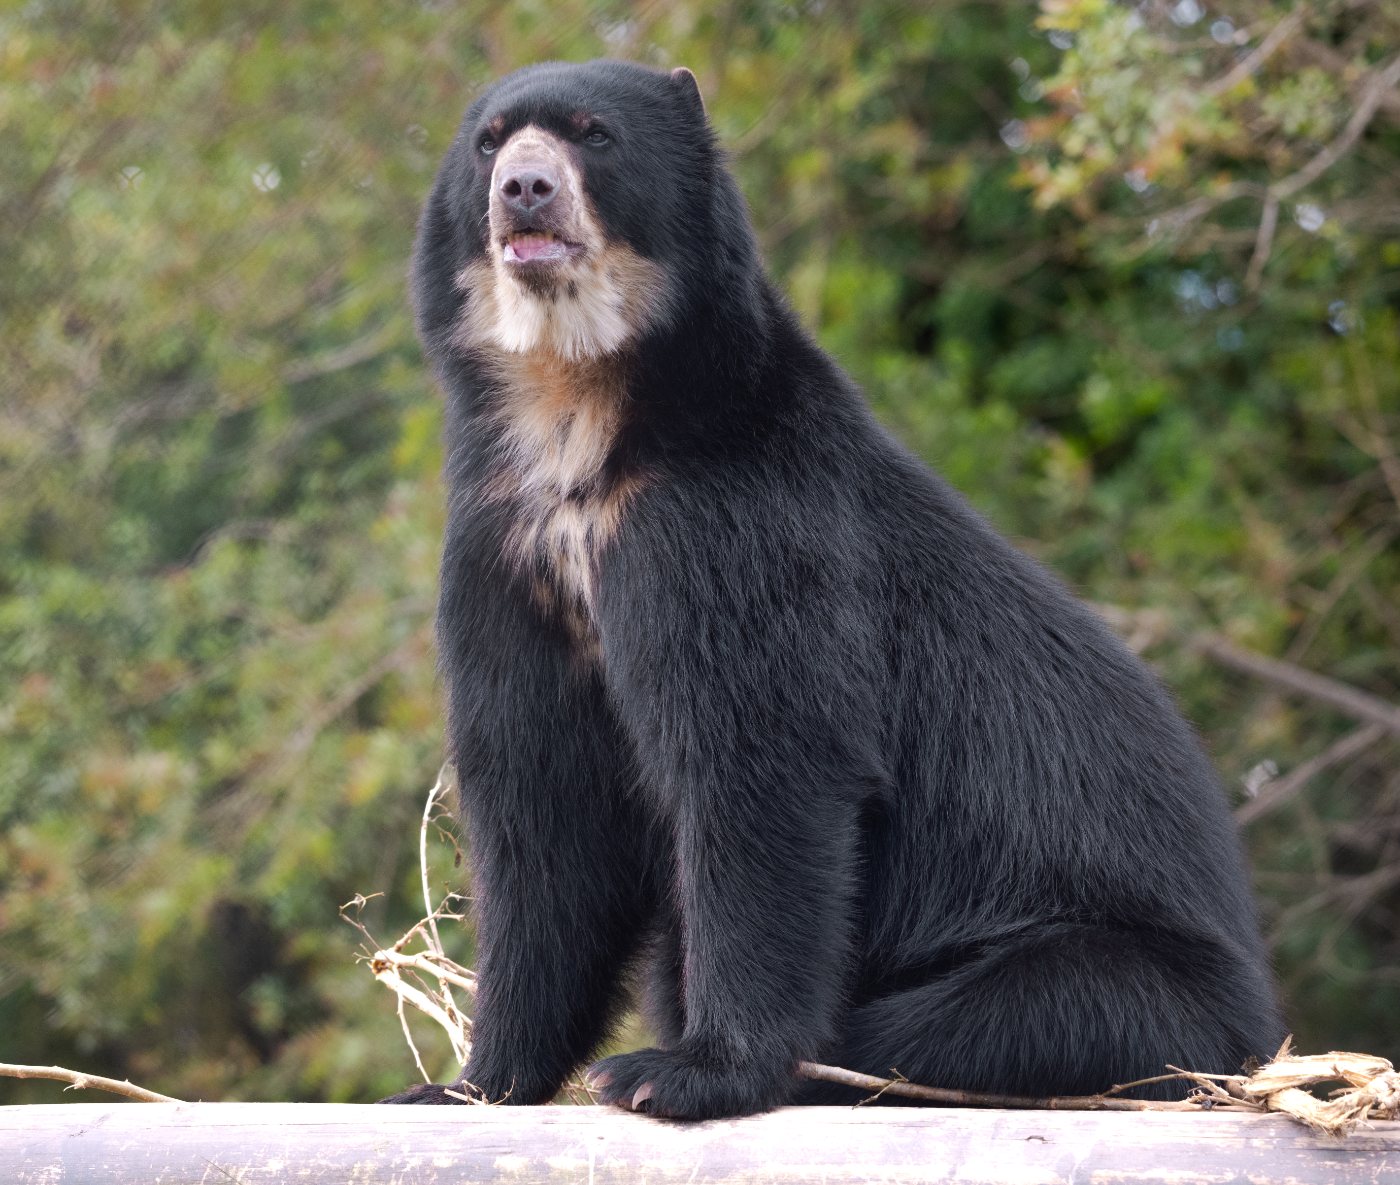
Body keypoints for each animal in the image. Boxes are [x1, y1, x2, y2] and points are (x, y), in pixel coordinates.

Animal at [380, 59, 1283, 1119]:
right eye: (488, 142)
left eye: (593, 133)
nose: (524, 188)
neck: (580, 413)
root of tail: (1257, 1033)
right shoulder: (503, 556)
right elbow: (541, 803)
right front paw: (464, 1086)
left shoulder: (736, 528)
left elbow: (765, 760)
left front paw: (681, 1072)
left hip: (1125, 984)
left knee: (977, 1019)